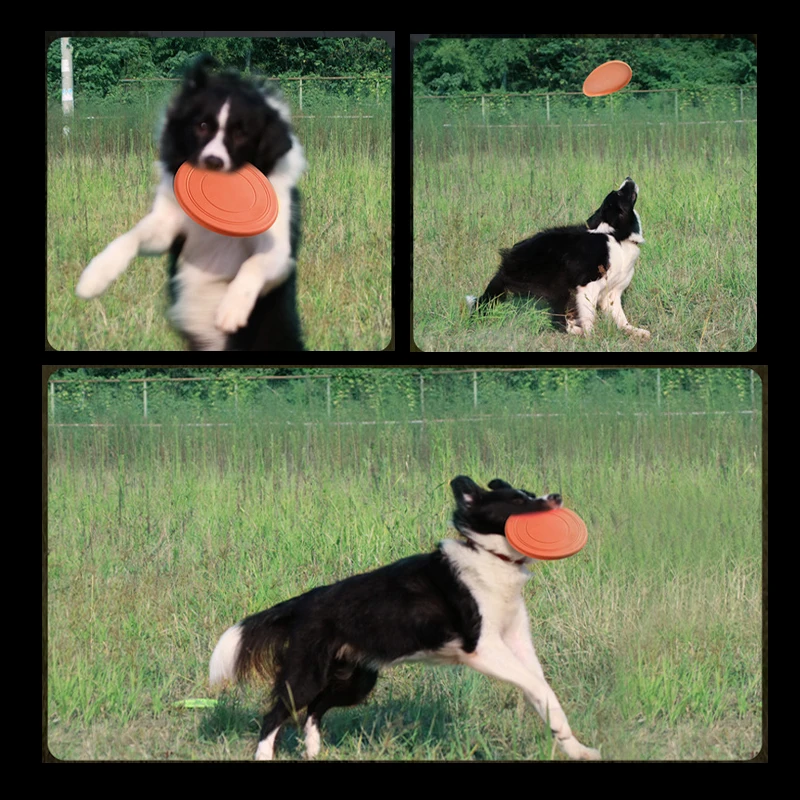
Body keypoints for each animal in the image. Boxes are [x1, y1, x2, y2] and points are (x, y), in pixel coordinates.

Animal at [76, 56, 306, 350]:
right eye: (202, 126)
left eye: (241, 134)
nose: (213, 162)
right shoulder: (167, 225)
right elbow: (131, 236)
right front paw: (95, 276)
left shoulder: (280, 251)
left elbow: (254, 263)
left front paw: (231, 309)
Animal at [209, 478, 596, 760]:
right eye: (518, 501)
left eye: (529, 493)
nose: (557, 496)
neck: (490, 556)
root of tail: (304, 602)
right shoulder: (482, 648)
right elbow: (535, 685)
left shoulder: (517, 642)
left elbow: (543, 690)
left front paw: (576, 748)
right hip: (306, 673)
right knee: (275, 715)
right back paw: (267, 756)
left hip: (356, 680)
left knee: (314, 710)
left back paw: (314, 752)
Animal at [468, 178, 648, 338]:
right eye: (620, 193)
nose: (629, 178)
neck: (617, 236)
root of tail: (505, 265)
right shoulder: (587, 285)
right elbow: (588, 315)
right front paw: (592, 336)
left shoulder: (612, 292)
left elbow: (620, 318)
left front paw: (635, 331)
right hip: (558, 282)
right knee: (557, 320)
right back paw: (577, 330)